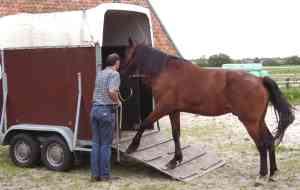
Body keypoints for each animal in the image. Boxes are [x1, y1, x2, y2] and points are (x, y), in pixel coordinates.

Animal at [119, 37, 292, 179]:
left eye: (124, 54)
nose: (119, 73)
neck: (165, 72)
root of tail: (260, 80)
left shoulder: (163, 108)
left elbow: (144, 123)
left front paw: (132, 147)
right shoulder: (174, 110)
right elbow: (176, 134)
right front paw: (175, 160)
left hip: (250, 122)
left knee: (261, 144)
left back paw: (262, 174)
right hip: (259, 121)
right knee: (269, 141)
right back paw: (272, 172)